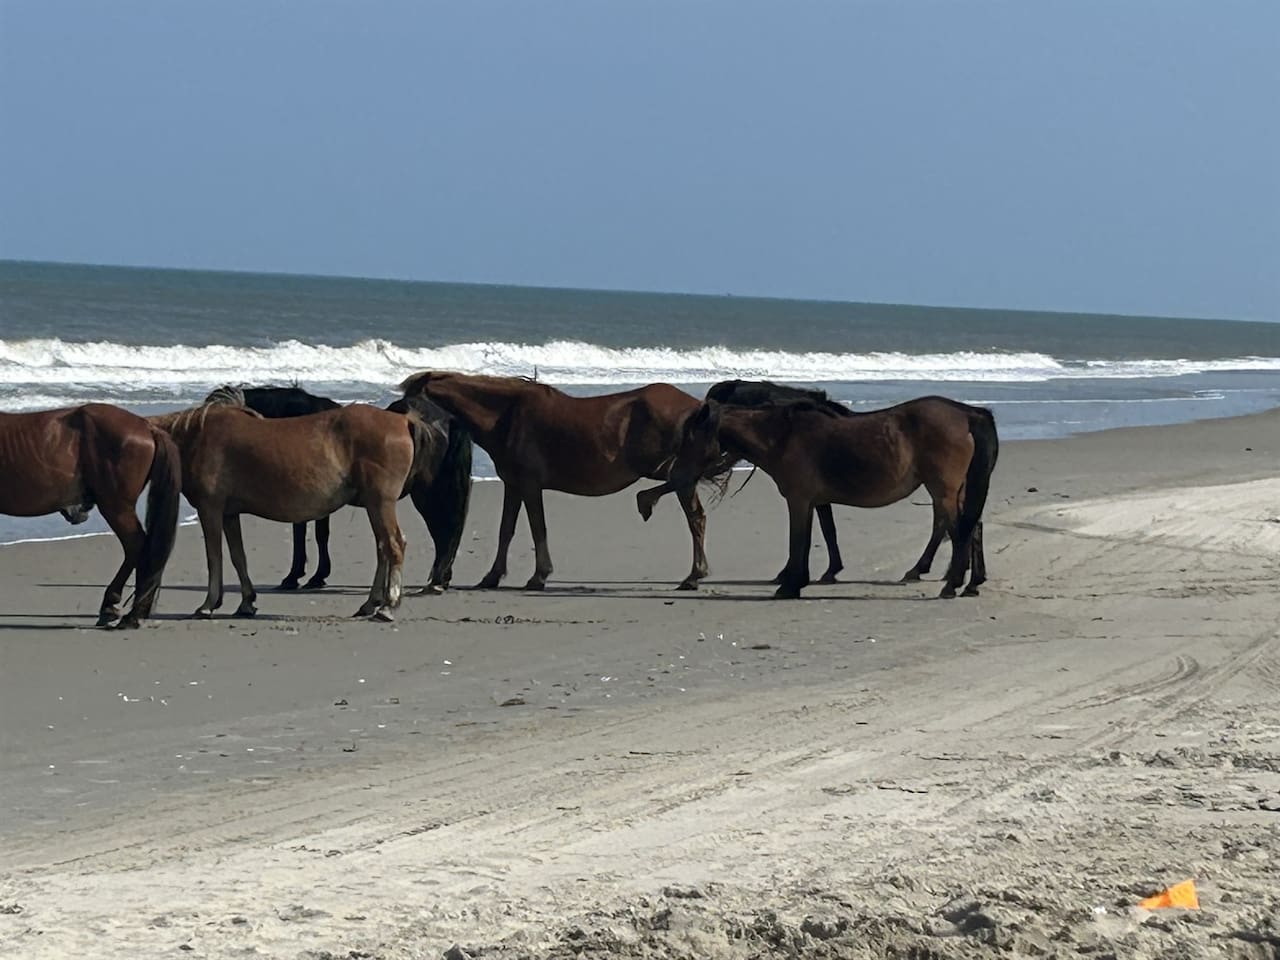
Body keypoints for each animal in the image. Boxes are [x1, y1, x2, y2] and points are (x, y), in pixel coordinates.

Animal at [149, 387, 426, 621]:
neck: (197, 436)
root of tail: (401, 421)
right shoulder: (229, 514)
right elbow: (238, 556)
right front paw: (246, 602)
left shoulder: (210, 509)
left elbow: (214, 557)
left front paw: (208, 604)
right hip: (374, 505)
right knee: (382, 548)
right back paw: (370, 604)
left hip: (380, 502)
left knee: (393, 545)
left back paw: (388, 606)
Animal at [238, 385, 472, 593]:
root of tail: (447, 420)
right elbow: (317, 533)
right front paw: (315, 575)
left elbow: (308, 533)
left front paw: (299, 577)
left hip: (427, 495)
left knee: (444, 531)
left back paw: (436, 582)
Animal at [399, 371, 712, 591]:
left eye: (409, 402)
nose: (401, 426)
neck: (506, 415)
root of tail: (694, 405)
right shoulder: (513, 485)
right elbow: (506, 530)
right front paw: (492, 576)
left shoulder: (529, 485)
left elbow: (538, 528)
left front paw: (539, 576)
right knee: (695, 511)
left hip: (672, 471)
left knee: (694, 515)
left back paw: (692, 573)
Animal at [663, 396, 999, 599]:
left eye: (691, 437)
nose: (676, 474)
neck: (783, 436)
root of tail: (967, 413)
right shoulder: (812, 502)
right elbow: (816, 536)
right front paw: (799, 581)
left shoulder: (799, 501)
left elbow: (798, 541)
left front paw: (789, 586)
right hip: (958, 491)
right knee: (972, 527)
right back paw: (969, 584)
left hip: (943, 491)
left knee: (960, 531)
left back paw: (952, 584)